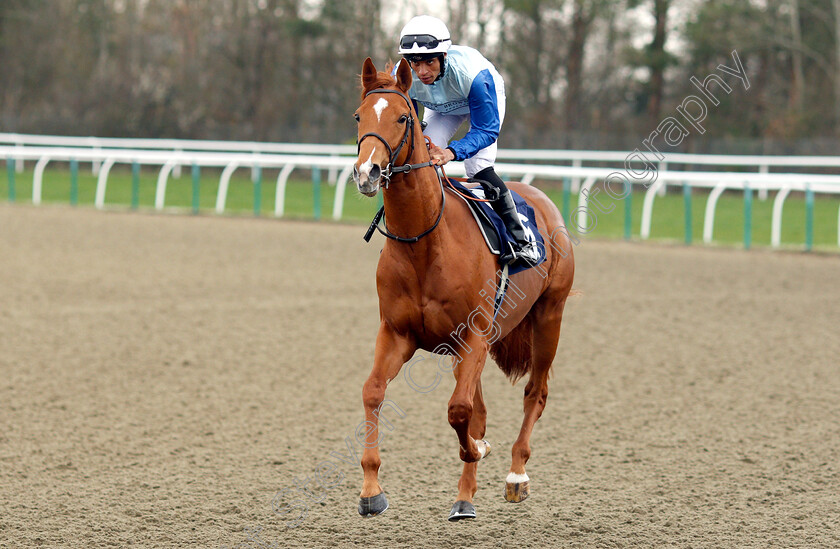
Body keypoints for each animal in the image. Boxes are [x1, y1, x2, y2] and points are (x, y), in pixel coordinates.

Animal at [352, 57, 576, 520]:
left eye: (402, 117)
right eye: (359, 116)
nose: (367, 173)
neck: (424, 242)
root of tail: (541, 199)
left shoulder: (474, 335)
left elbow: (459, 411)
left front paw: (474, 467)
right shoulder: (397, 333)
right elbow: (373, 392)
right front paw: (370, 490)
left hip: (550, 316)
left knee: (535, 392)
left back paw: (516, 474)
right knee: (481, 406)